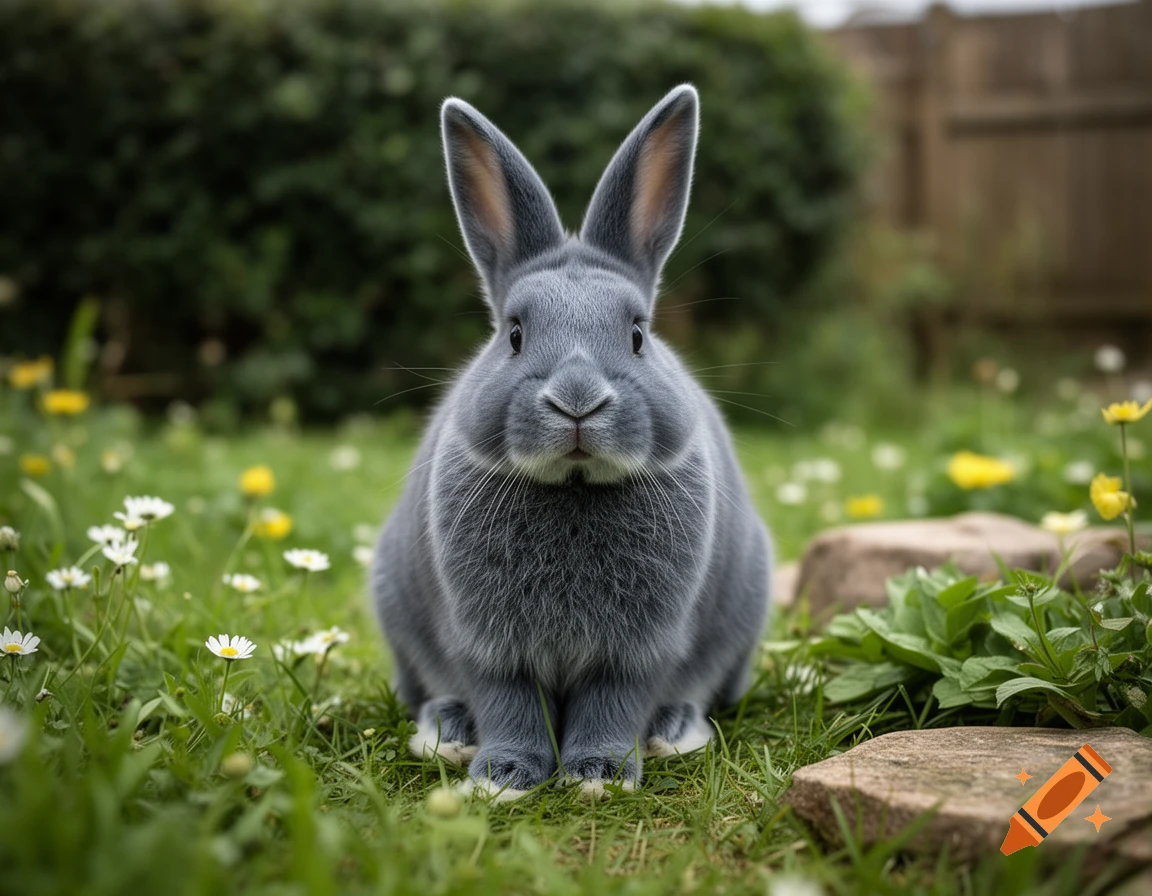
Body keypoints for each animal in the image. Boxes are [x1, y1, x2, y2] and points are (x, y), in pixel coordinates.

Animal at [373, 84, 772, 799]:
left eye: (638, 334)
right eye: (514, 334)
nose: (578, 400)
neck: (575, 486)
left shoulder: (638, 650)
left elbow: (613, 702)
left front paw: (597, 775)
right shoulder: (489, 646)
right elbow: (508, 704)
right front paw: (504, 777)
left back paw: (673, 729)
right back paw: (449, 729)